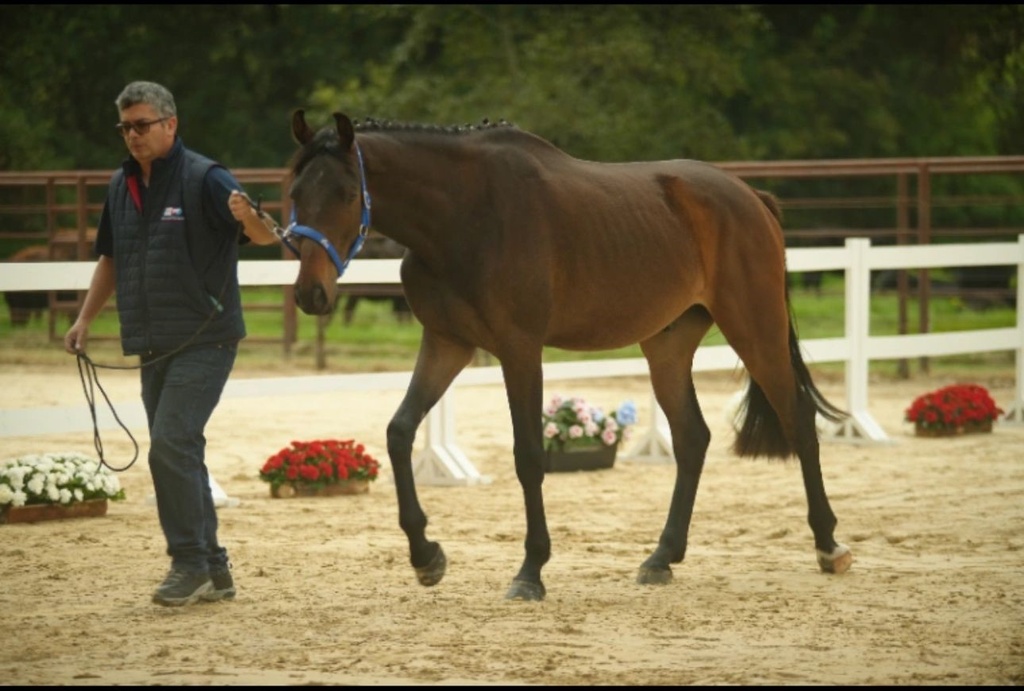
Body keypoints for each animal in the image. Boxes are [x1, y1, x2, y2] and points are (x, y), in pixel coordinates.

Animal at [284, 109, 851, 601]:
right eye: (294, 191)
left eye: (345, 193)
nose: (311, 293)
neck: (465, 215)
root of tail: (751, 196)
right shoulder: (447, 343)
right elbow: (399, 432)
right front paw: (427, 557)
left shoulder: (519, 348)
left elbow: (529, 456)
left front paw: (530, 571)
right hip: (667, 346)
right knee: (692, 439)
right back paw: (661, 558)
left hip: (755, 327)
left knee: (799, 421)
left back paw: (829, 546)